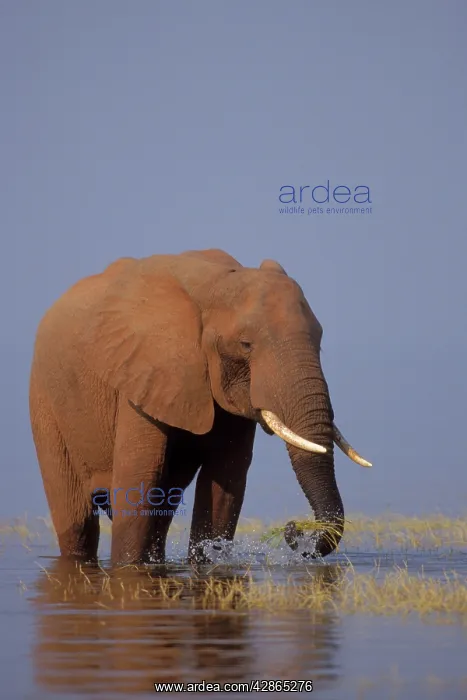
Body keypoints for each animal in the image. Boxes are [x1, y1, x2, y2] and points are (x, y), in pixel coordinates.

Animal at [29, 248, 371, 565]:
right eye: (245, 345)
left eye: (319, 338)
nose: (293, 529)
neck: (215, 282)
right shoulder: (141, 372)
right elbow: (138, 476)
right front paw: (128, 568)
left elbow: (226, 476)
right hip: (44, 401)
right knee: (77, 521)